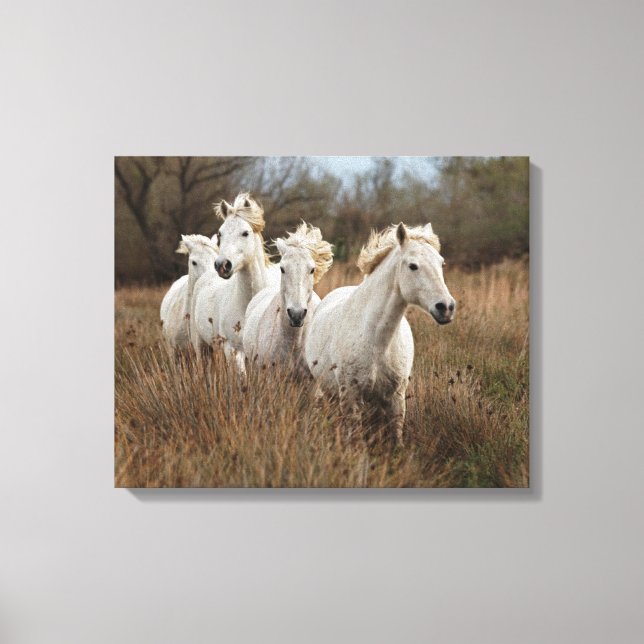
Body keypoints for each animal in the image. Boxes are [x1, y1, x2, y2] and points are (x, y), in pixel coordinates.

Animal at [304, 222, 455, 444]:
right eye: (413, 266)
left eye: (441, 264)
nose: (446, 307)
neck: (376, 341)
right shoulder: (350, 398)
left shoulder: (395, 399)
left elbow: (396, 438)